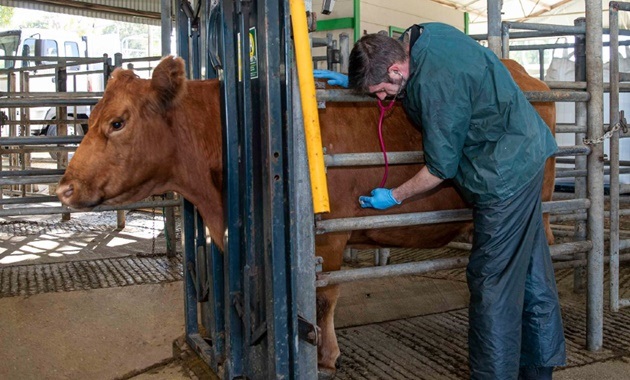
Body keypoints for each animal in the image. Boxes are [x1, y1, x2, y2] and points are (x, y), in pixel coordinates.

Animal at [56, 55, 556, 378]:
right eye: (90, 119)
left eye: (117, 122)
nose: (63, 188)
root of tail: (523, 74)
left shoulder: (328, 239)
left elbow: (323, 298)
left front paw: (323, 355)